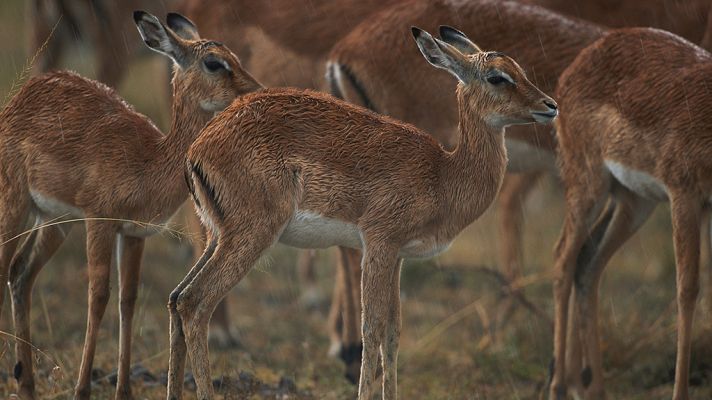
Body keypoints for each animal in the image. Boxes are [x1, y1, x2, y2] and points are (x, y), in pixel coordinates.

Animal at [0, 11, 261, 399]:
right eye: (214, 62)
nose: (255, 90)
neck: (148, 160)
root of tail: (22, 94)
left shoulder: (134, 234)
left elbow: (128, 300)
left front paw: (123, 389)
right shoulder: (100, 222)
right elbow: (98, 296)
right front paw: (82, 388)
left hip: (54, 220)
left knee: (20, 272)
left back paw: (27, 384)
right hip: (16, 204)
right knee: (6, 266)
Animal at [169, 26, 557, 400]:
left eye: (519, 69)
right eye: (497, 77)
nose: (550, 105)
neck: (443, 174)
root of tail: (198, 148)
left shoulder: (398, 256)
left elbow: (393, 332)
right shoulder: (378, 245)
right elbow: (372, 329)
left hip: (218, 237)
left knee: (176, 299)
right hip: (252, 236)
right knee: (194, 302)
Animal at [549, 27, 711, 400]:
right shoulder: (685, 195)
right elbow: (687, 289)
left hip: (634, 201)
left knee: (588, 262)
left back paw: (593, 388)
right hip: (588, 184)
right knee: (563, 257)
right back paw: (558, 386)